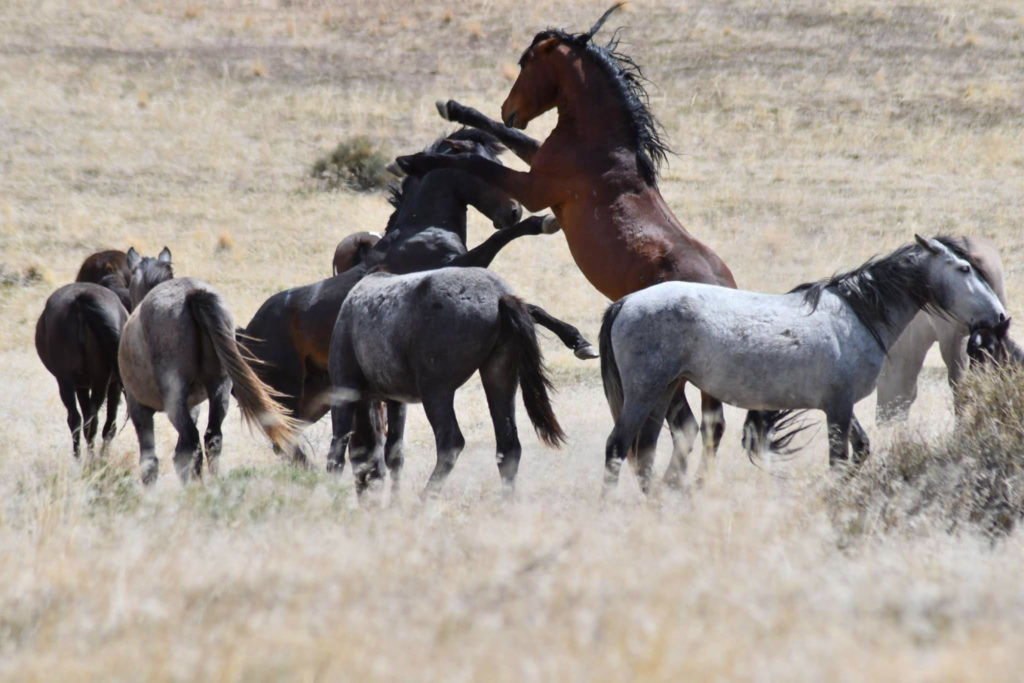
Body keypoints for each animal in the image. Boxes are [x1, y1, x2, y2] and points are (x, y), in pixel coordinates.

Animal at [238, 127, 593, 464]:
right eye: (483, 171)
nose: (513, 211)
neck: (422, 230)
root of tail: (246, 332)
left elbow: (532, 307)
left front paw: (578, 341)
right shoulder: (460, 265)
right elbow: (501, 247)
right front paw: (544, 222)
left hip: (315, 395)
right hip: (288, 393)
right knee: (283, 438)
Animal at [327, 266, 565, 497]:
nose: (366, 494)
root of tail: (499, 296)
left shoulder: (344, 392)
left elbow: (337, 452)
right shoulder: (397, 401)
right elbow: (394, 455)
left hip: (435, 391)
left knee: (451, 443)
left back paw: (424, 499)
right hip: (499, 378)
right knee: (508, 446)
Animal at [399, 3, 745, 485]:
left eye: (526, 62)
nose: (510, 108)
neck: (601, 144)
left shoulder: (532, 188)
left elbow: (476, 162)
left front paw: (415, 159)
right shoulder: (536, 161)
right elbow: (506, 137)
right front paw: (453, 108)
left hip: (671, 376)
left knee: (688, 427)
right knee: (703, 427)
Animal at [598, 235, 1007, 491]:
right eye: (964, 269)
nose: (1001, 317)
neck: (857, 314)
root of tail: (626, 302)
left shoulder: (840, 404)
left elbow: (861, 450)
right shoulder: (838, 407)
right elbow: (839, 459)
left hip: (663, 391)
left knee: (644, 452)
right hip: (645, 392)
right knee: (618, 447)